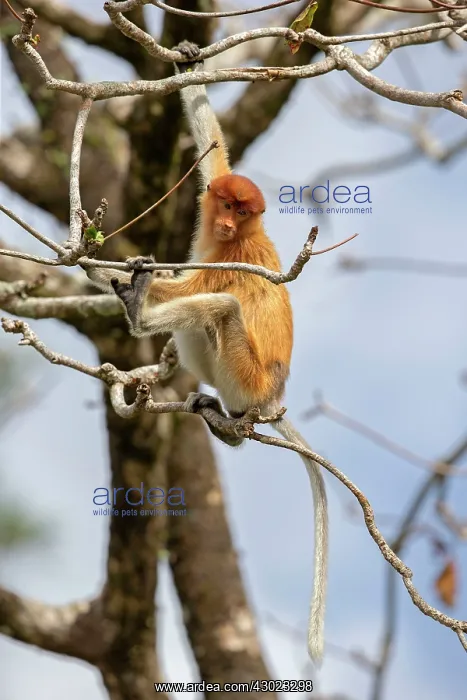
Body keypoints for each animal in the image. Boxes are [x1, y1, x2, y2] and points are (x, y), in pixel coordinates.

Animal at [87, 41, 328, 663]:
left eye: (243, 212)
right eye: (226, 203)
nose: (223, 221)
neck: (234, 237)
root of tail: (271, 397)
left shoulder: (231, 258)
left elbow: (197, 290)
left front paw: (124, 283)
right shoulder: (209, 194)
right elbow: (211, 147)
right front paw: (189, 64)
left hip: (244, 371)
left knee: (217, 308)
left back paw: (142, 315)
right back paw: (223, 419)